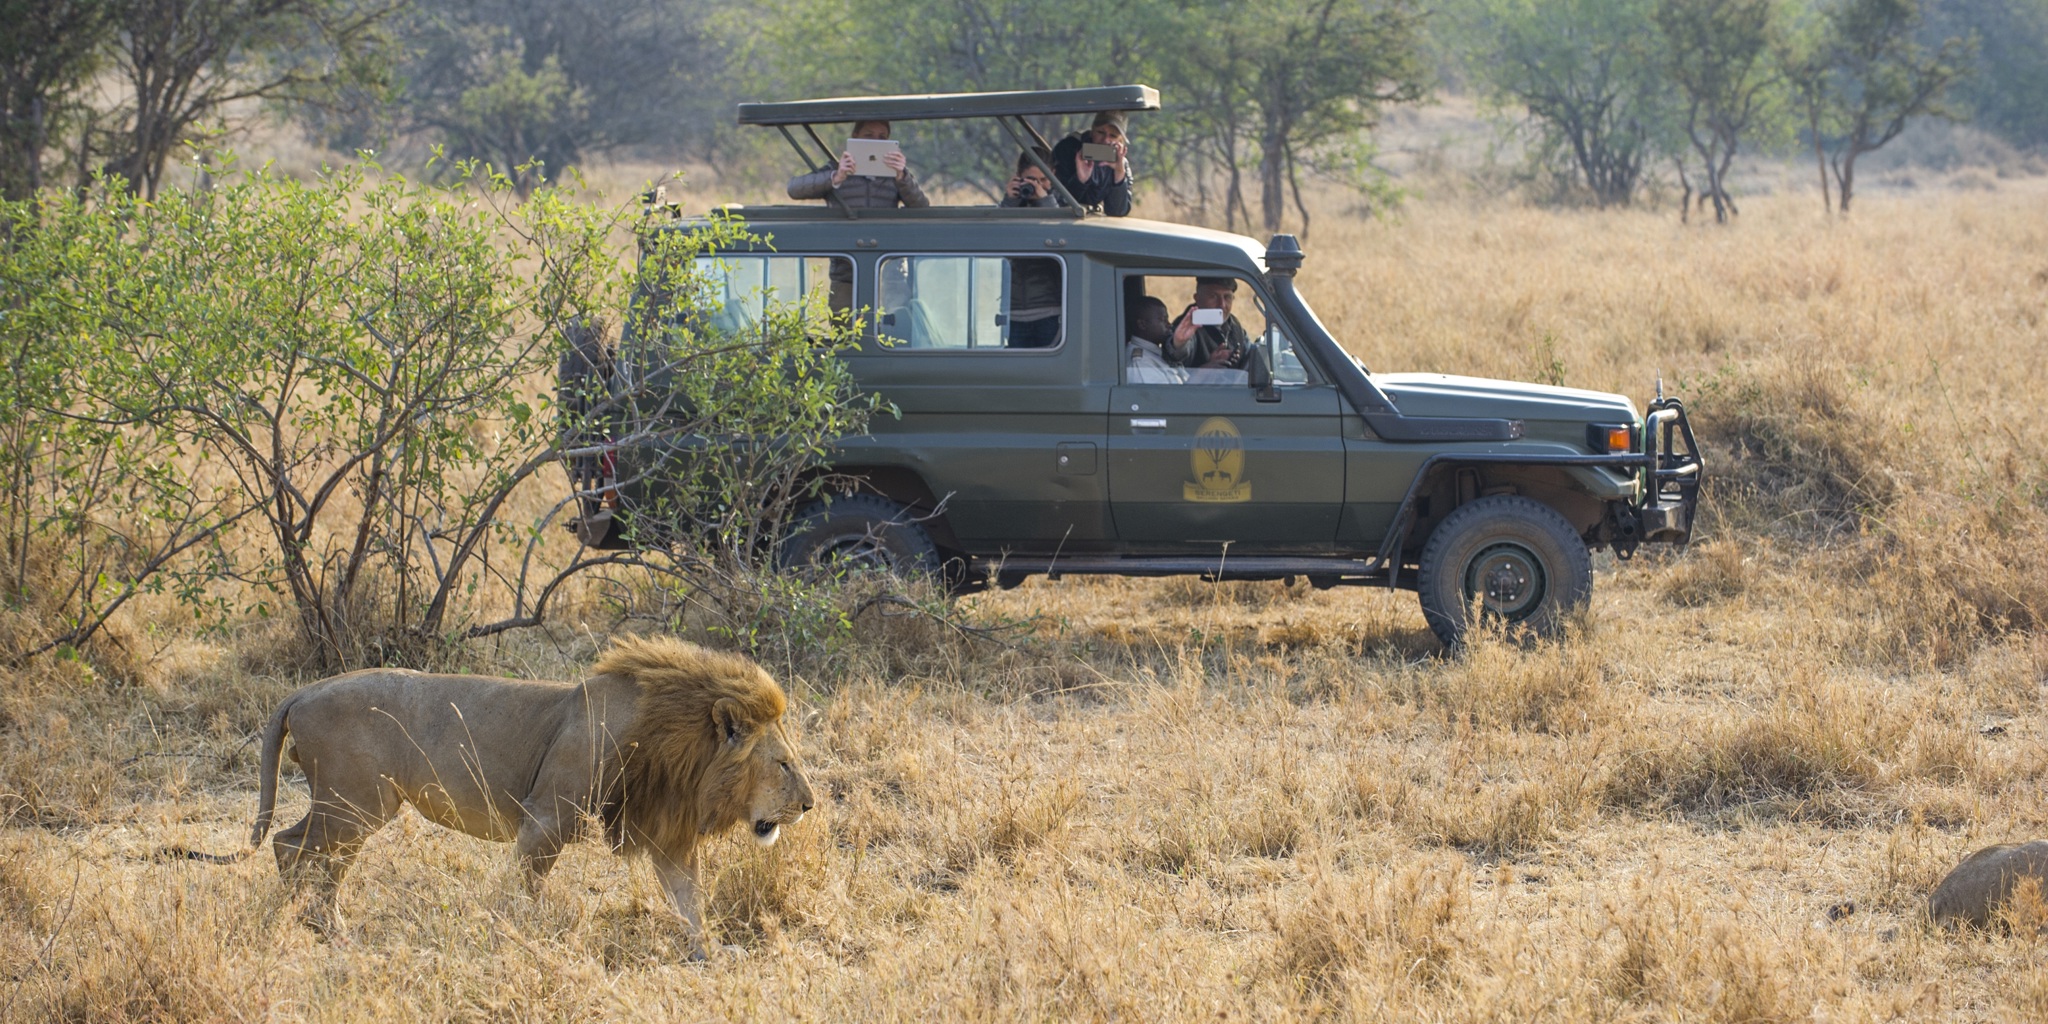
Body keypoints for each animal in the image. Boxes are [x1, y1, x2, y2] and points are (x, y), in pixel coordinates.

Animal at [190, 636, 813, 959]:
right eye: (784, 763)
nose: (809, 806)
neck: (675, 742)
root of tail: (305, 691)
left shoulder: (665, 834)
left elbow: (689, 899)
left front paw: (709, 954)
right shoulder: (546, 818)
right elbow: (525, 888)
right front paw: (516, 937)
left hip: (353, 806)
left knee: (301, 849)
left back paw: (320, 924)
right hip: (357, 803)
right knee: (290, 846)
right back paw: (310, 925)